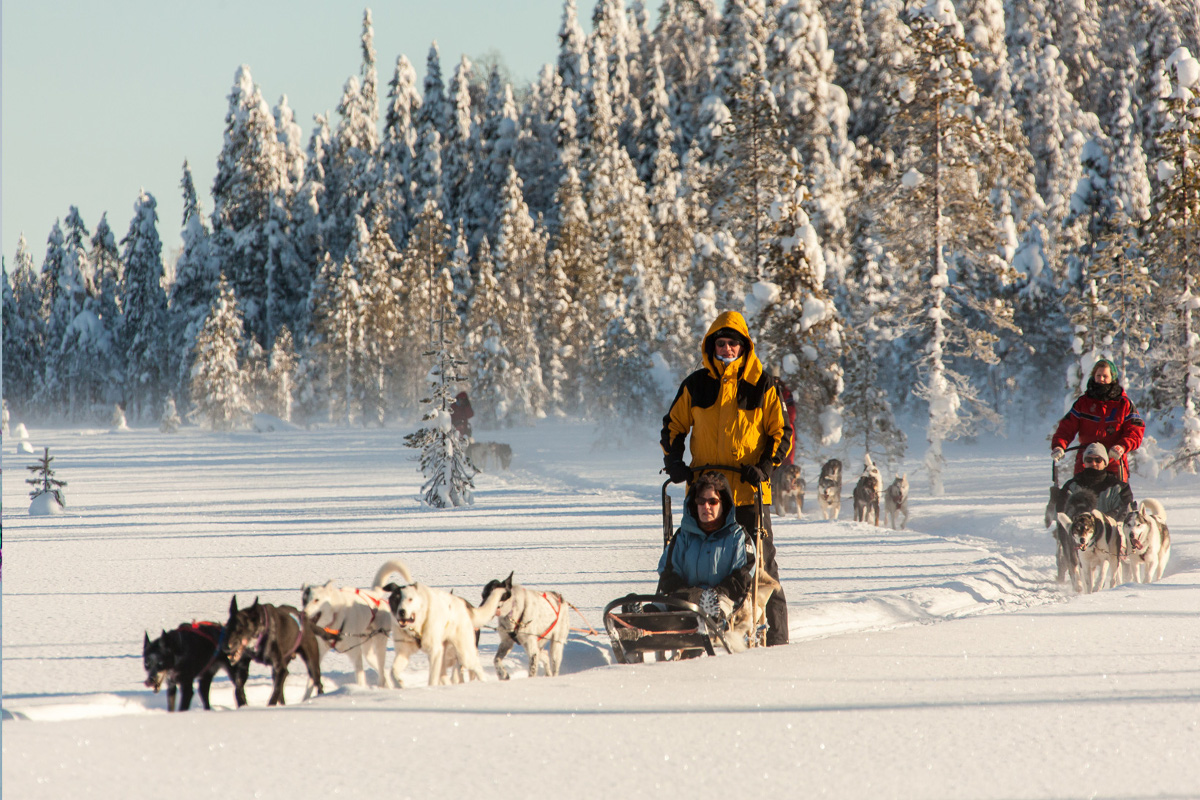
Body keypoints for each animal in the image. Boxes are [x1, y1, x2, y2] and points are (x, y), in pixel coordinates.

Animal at [300, 561, 422, 690]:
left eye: (316, 600)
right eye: (304, 600)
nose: (303, 613)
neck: (335, 617)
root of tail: (374, 594)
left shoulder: (355, 654)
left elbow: (360, 678)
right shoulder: (318, 653)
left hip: (379, 642)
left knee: (381, 668)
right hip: (367, 648)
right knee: (380, 669)